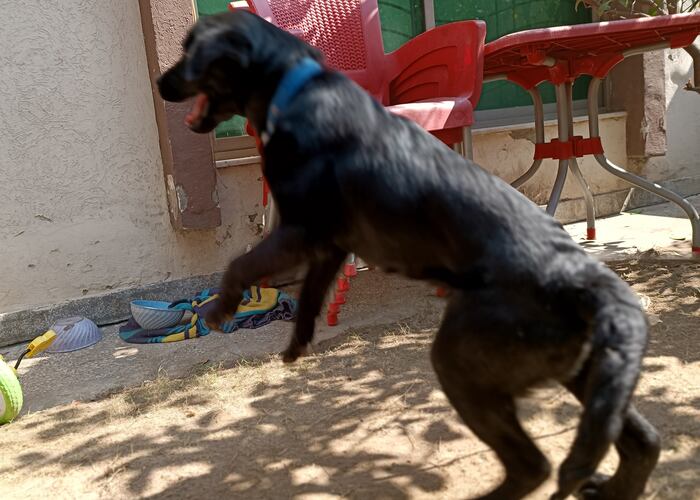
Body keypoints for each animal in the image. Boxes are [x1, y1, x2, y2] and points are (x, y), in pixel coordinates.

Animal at [159, 11, 660, 500]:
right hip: (588, 374)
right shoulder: (329, 245)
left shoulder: (299, 230)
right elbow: (311, 297)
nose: (162, 84)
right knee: (642, 443)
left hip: (461, 362)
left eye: (188, 50)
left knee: (532, 465)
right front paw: (298, 344)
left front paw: (218, 311)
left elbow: (239, 265)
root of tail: (591, 283)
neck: (295, 88)